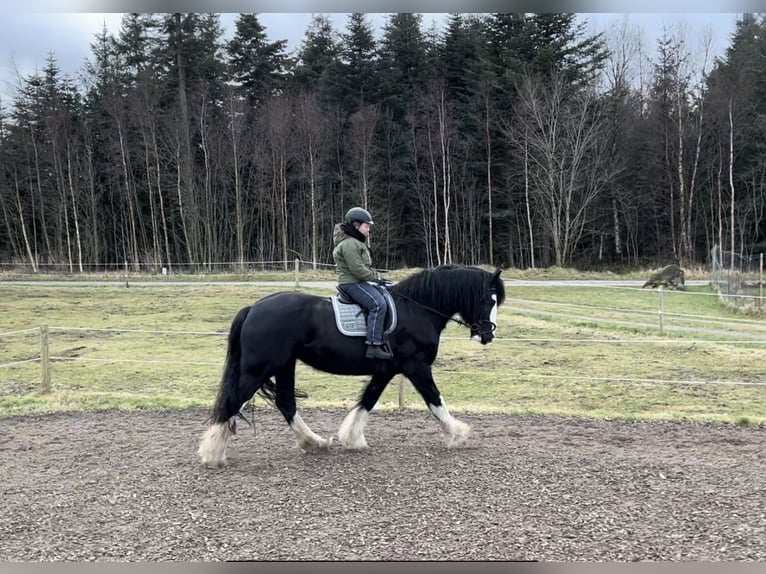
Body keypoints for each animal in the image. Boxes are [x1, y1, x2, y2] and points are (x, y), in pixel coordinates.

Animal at [201, 266, 508, 468]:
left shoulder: (386, 371)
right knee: (233, 402)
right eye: (489, 299)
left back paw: (314, 443)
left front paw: (351, 439)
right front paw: (458, 434)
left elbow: (367, 401)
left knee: (286, 403)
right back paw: (212, 453)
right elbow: (435, 400)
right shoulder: (416, 367)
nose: (488, 335)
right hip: (259, 368)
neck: (418, 309)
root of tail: (253, 308)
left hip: (284, 365)